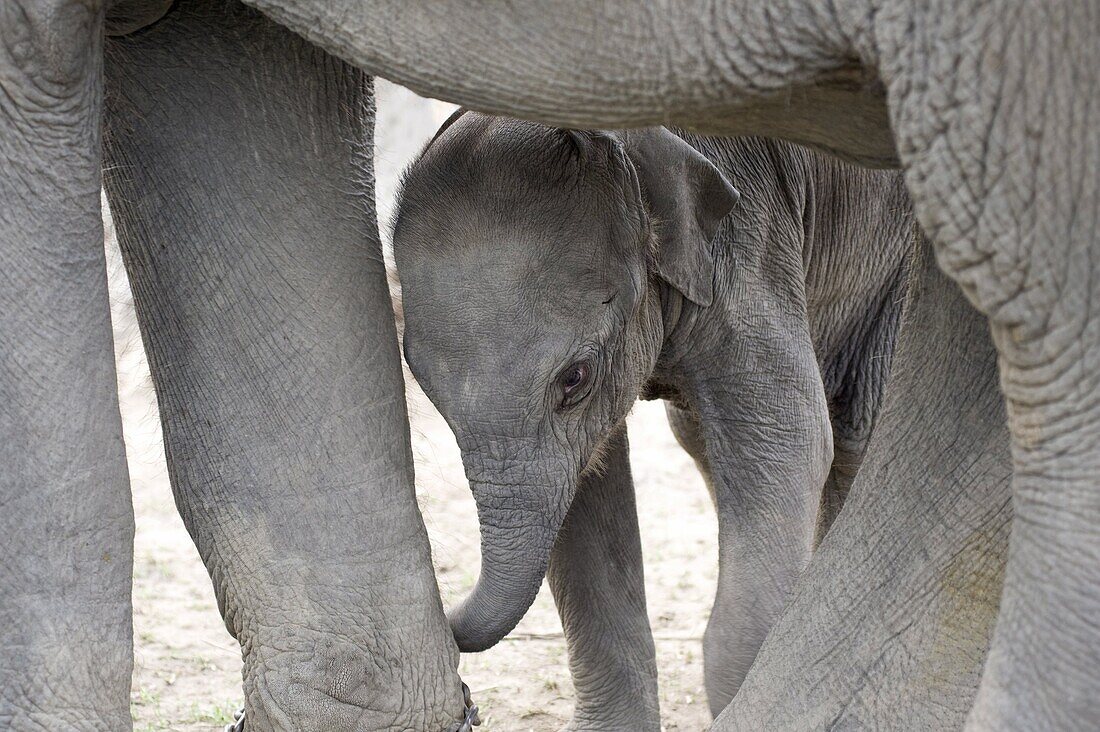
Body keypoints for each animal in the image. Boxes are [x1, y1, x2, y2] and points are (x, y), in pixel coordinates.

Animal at [393, 111, 910, 726]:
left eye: (575, 379)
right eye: (418, 378)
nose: (470, 703)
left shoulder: (750, 247)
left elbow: (788, 437)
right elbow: (587, 488)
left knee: (859, 432)